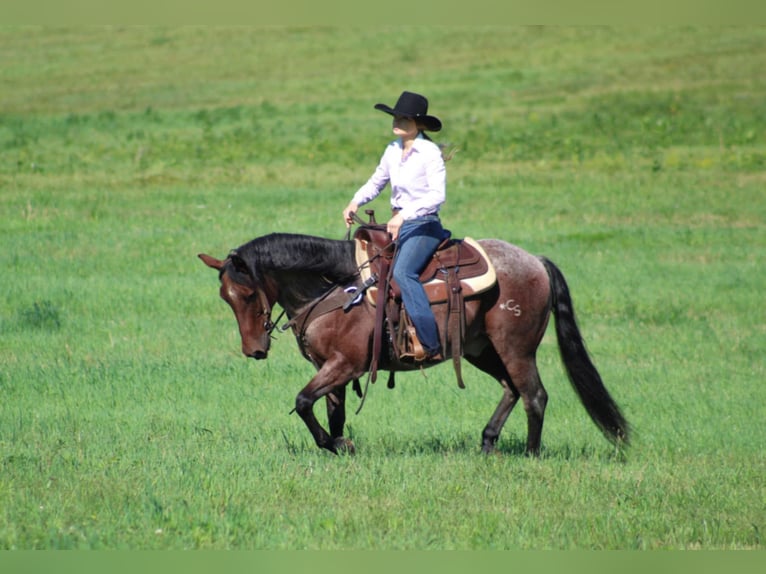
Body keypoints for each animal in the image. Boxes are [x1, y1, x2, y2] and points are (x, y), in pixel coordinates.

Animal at [200, 232, 632, 456]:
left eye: (247, 294)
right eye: (225, 297)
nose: (254, 350)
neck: (337, 288)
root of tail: (535, 261)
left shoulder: (346, 364)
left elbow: (303, 401)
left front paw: (335, 444)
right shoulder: (331, 369)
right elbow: (331, 411)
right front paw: (340, 444)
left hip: (516, 349)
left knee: (534, 395)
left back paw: (530, 453)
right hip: (480, 350)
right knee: (512, 389)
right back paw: (487, 443)